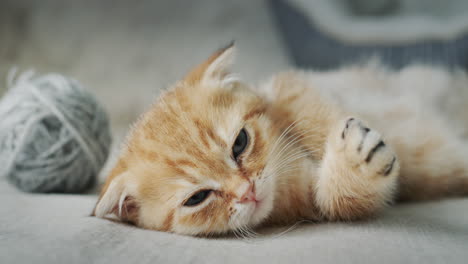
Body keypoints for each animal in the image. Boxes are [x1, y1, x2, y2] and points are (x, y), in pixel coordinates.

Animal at [92, 44, 468, 236]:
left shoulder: (290, 83)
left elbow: (307, 109)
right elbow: (341, 201)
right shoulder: (316, 206)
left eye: (240, 144)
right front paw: (353, 164)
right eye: (197, 198)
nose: (247, 191)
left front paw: (337, 137)